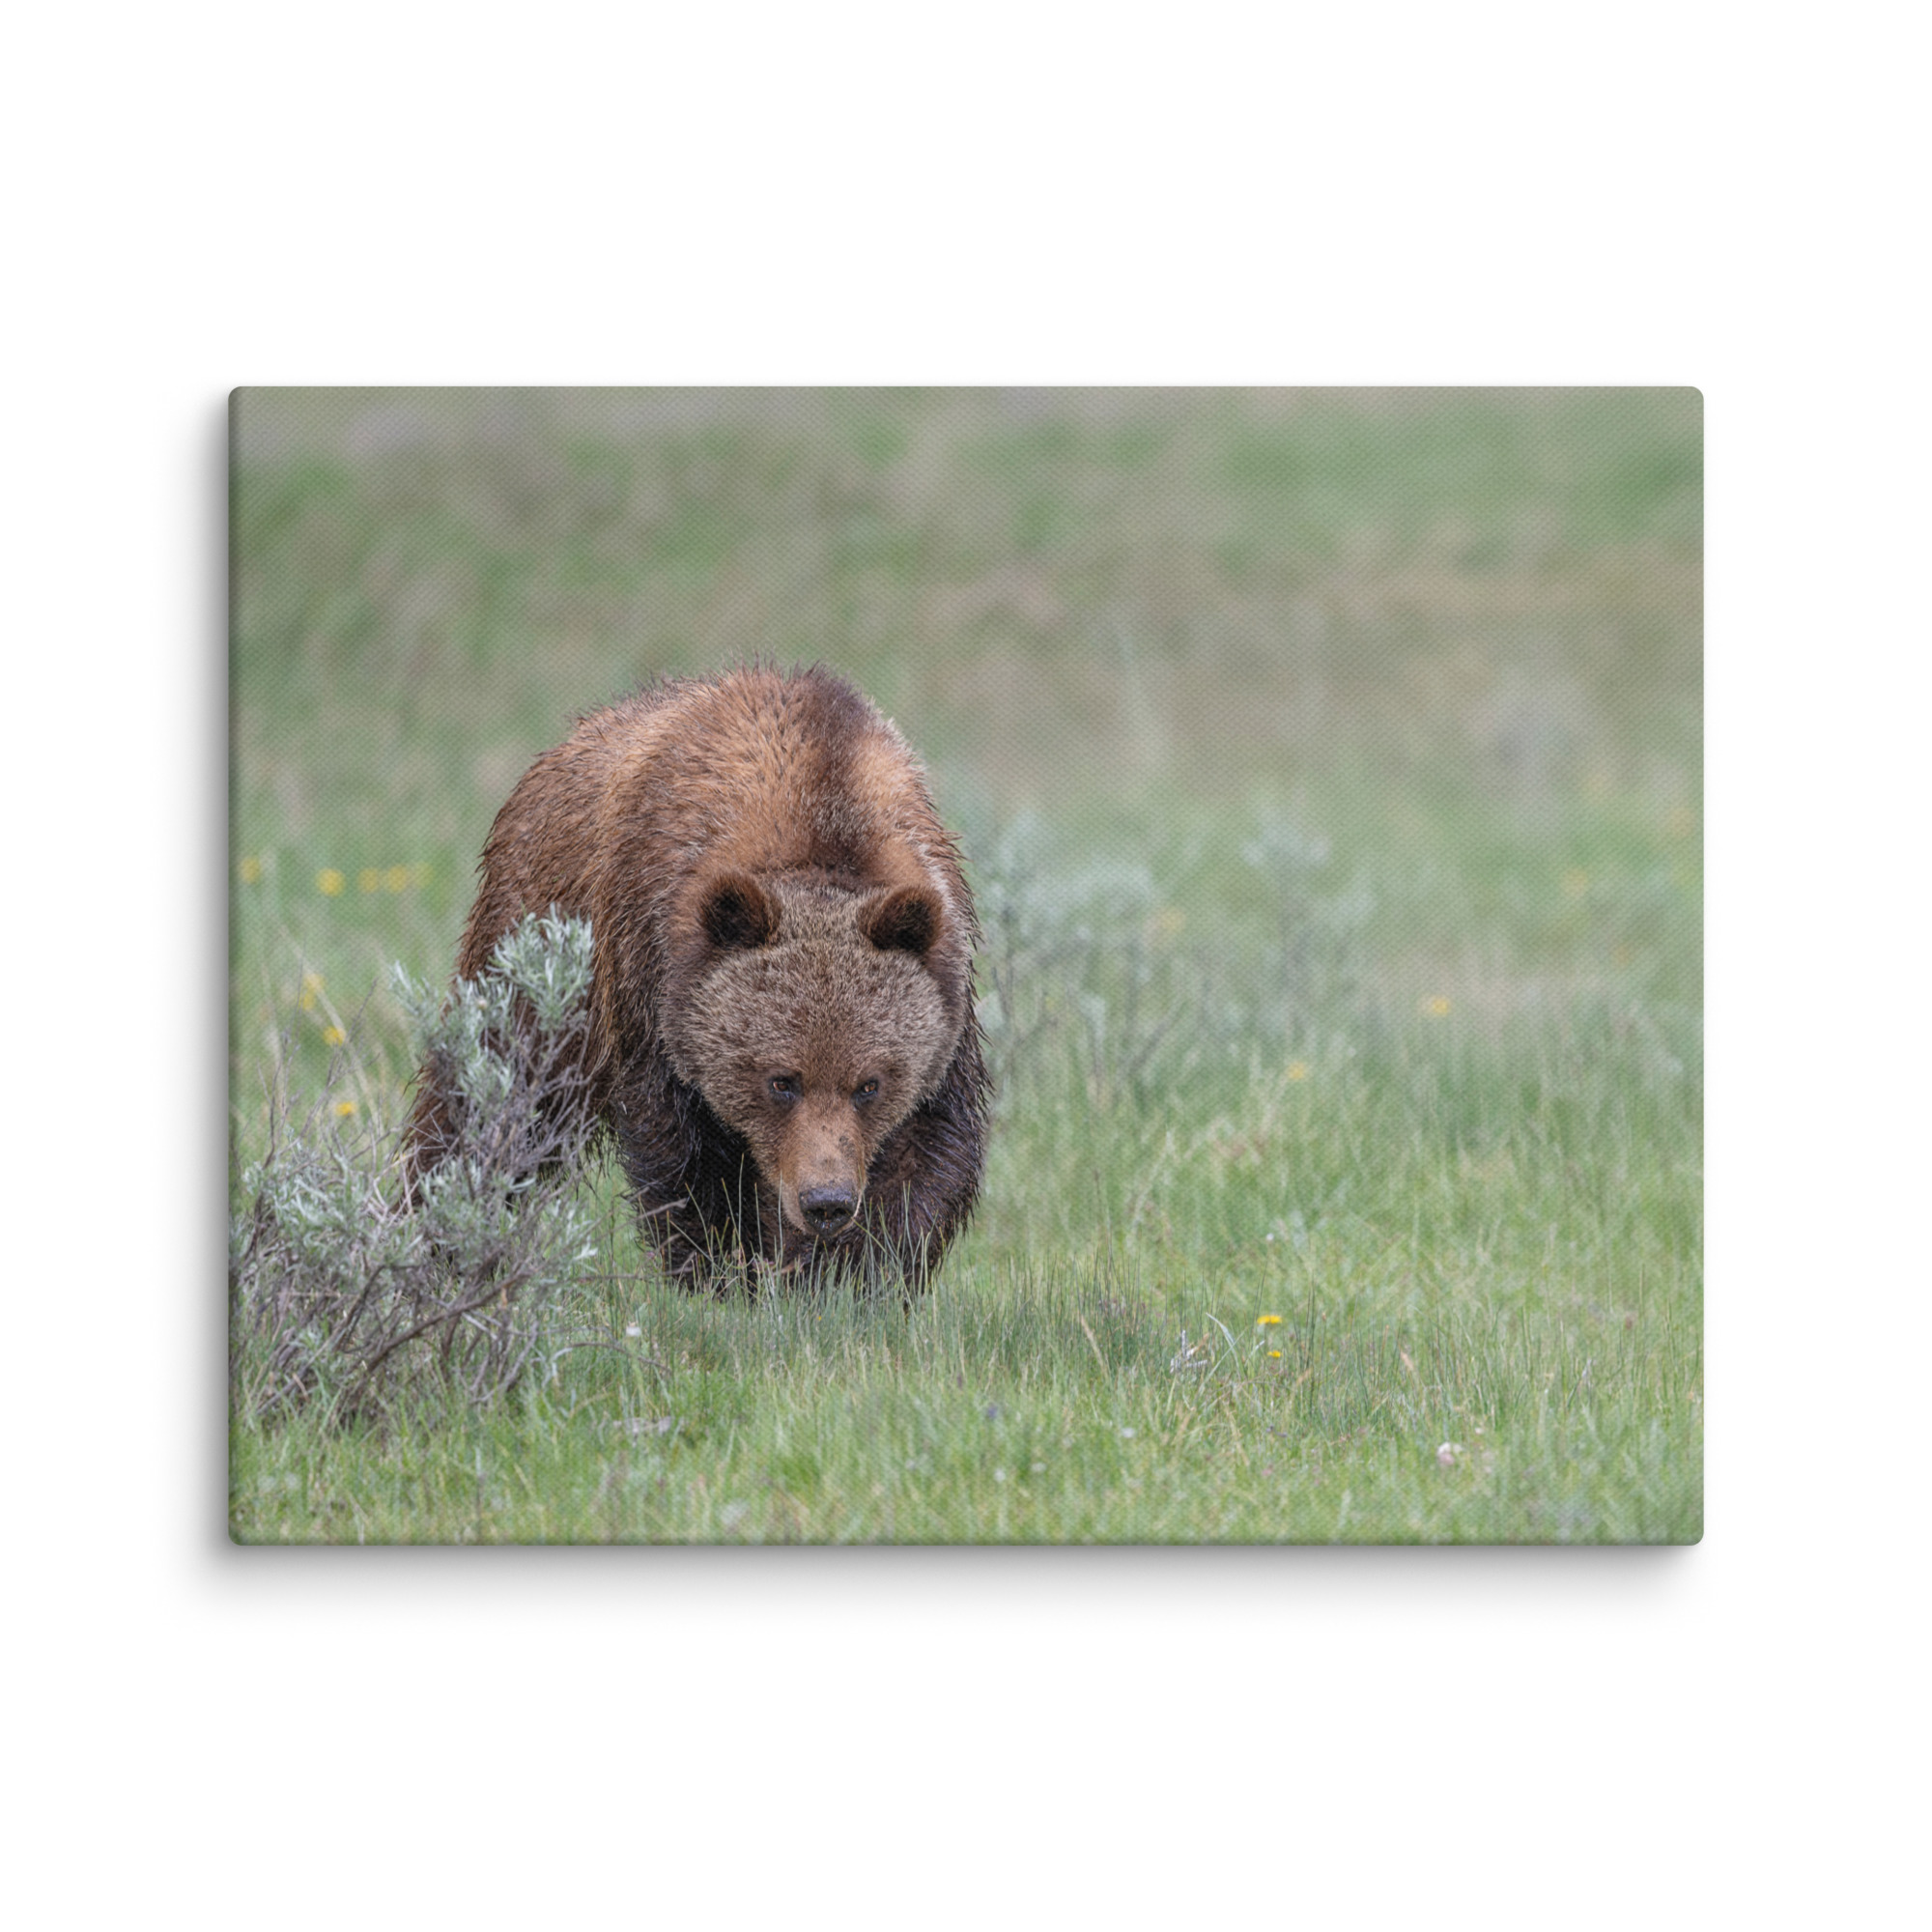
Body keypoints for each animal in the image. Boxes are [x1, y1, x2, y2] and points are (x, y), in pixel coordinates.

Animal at [405, 663, 991, 1290]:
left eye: (870, 1084)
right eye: (781, 1080)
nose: (826, 1201)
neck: (821, 814)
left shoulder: (945, 991)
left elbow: (926, 1152)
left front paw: (851, 1275)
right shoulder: (651, 977)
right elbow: (686, 1156)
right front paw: (723, 1270)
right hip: (537, 948)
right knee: (492, 1094)